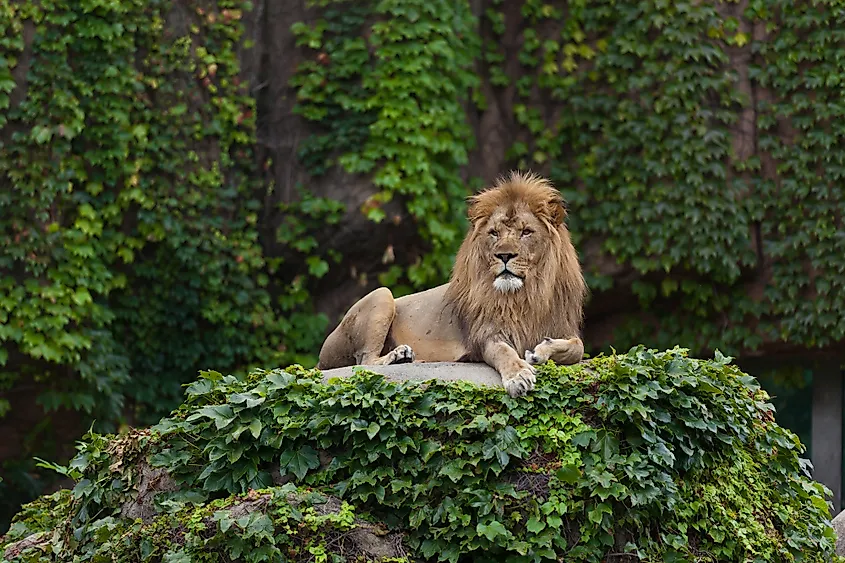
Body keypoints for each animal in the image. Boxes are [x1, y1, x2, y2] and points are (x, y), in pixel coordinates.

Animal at [316, 172, 588, 396]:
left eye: (526, 232)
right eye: (494, 233)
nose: (504, 255)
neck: (524, 296)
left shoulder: (562, 326)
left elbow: (578, 346)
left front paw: (541, 352)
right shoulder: (485, 335)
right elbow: (504, 352)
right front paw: (518, 376)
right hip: (381, 295)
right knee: (365, 362)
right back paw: (400, 356)